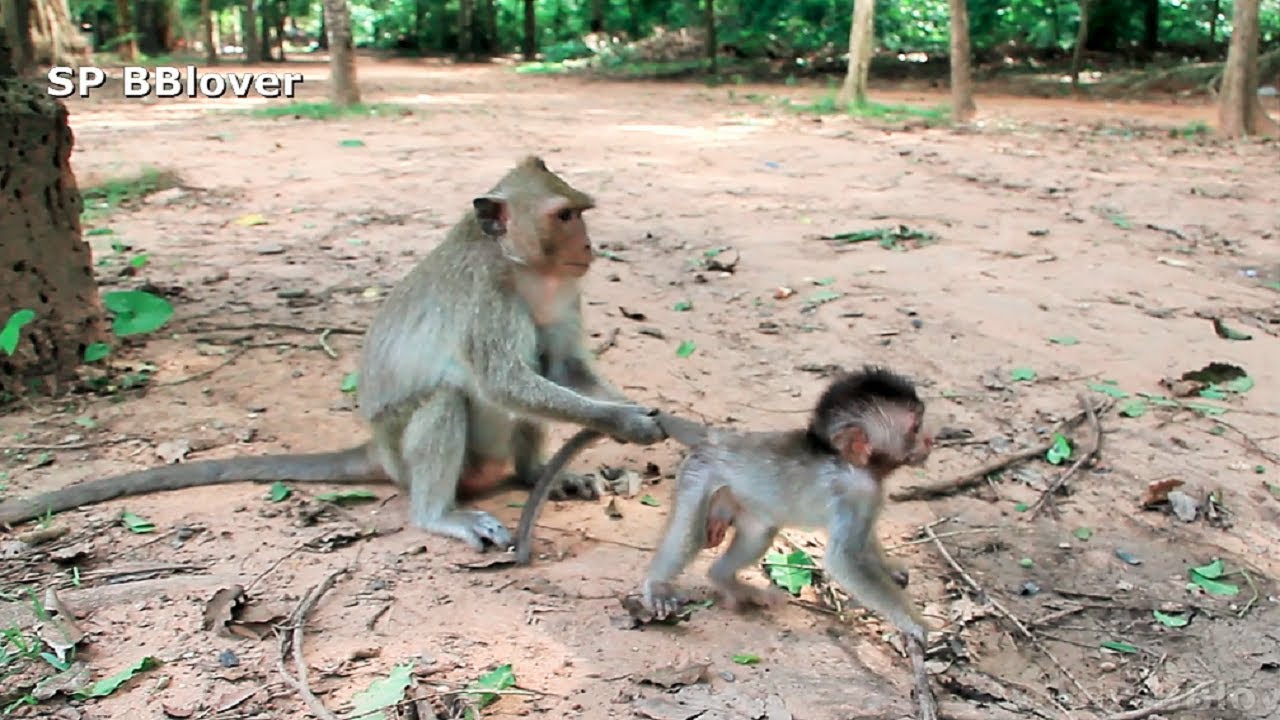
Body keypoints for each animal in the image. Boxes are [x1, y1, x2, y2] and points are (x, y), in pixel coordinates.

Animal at [0, 156, 666, 552]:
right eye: (565, 216)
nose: (590, 245)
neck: (521, 268)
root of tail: (375, 452)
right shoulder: (486, 297)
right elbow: (505, 380)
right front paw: (623, 419)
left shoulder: (564, 290)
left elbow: (564, 371)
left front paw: (639, 412)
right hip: (405, 454)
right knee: (446, 400)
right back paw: (440, 514)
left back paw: (535, 474)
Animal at [637, 365, 934, 643]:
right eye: (915, 428)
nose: (930, 439)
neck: (853, 464)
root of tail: (720, 438)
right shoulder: (858, 492)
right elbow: (845, 560)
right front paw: (916, 624)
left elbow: (865, 543)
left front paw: (889, 568)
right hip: (699, 473)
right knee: (690, 533)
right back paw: (659, 584)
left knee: (759, 534)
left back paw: (724, 580)